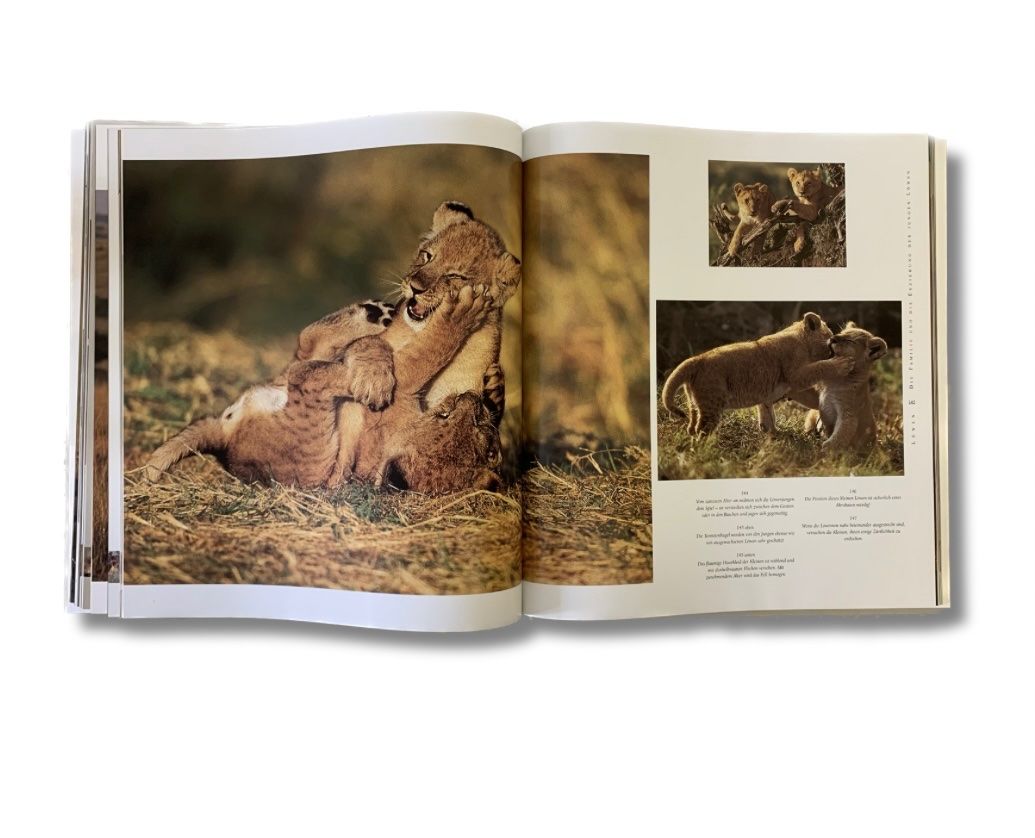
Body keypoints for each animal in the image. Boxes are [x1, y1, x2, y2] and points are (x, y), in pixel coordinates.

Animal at [661, 312, 853, 437]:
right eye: (830, 335)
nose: (834, 341)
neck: (802, 340)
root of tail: (696, 359)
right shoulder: (796, 375)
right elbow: (819, 367)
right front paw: (843, 363)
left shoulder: (778, 392)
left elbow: (768, 416)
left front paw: (773, 434)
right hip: (713, 402)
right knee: (702, 429)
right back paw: (706, 447)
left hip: (694, 401)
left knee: (692, 425)